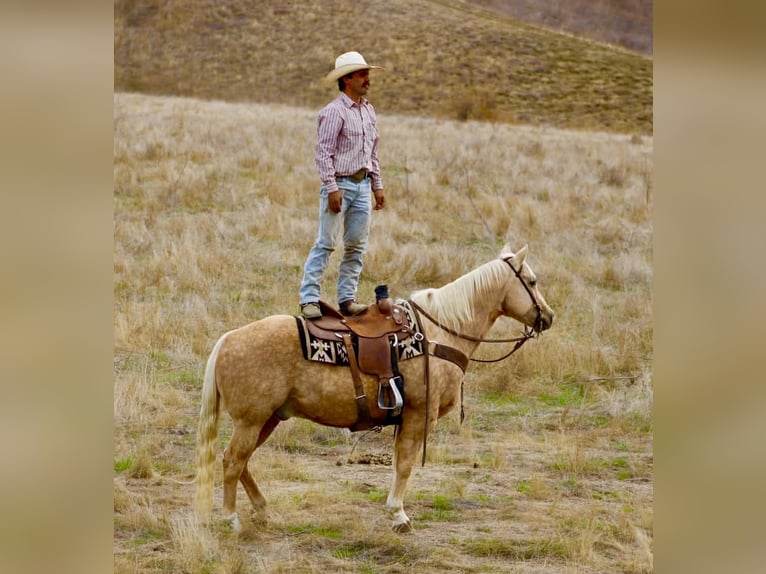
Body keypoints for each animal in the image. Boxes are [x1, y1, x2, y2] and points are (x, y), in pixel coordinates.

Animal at [195, 244, 554, 532]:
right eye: (532, 281)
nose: (548, 317)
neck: (438, 332)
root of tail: (229, 339)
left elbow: (398, 463)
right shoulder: (418, 416)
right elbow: (405, 464)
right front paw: (399, 516)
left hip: (268, 418)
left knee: (241, 462)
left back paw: (262, 510)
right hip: (251, 420)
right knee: (232, 462)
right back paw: (231, 519)